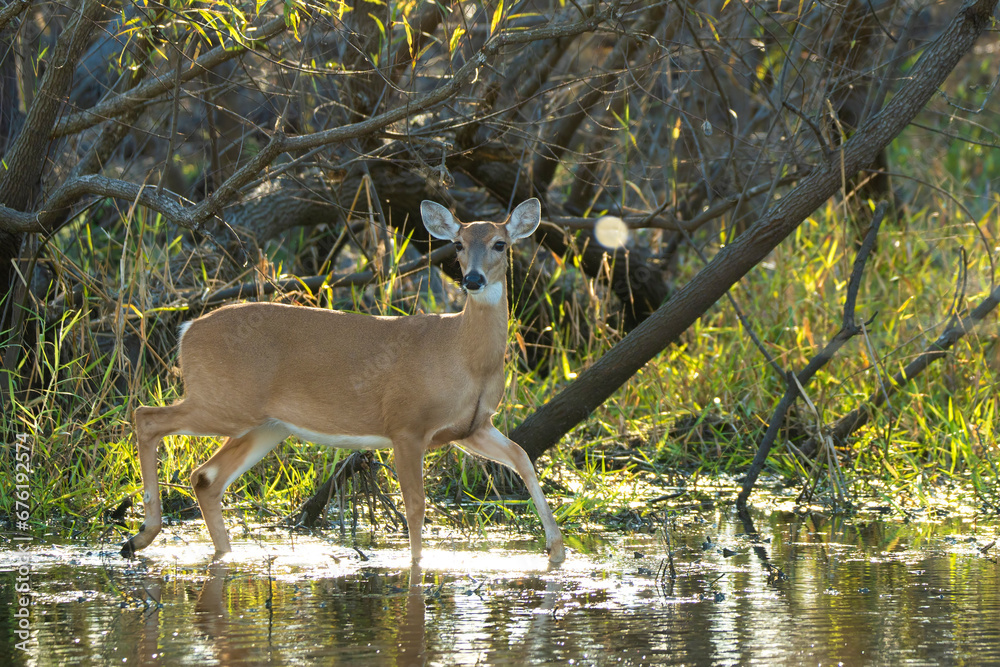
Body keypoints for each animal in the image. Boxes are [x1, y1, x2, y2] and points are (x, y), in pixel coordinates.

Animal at [120, 198, 566, 564]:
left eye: (500, 244)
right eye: (456, 245)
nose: (472, 280)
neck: (465, 357)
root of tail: (187, 329)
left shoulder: (472, 427)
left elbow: (523, 457)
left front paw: (556, 550)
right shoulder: (407, 424)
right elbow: (416, 505)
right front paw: (417, 565)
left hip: (266, 424)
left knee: (205, 477)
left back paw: (211, 552)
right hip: (223, 401)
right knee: (147, 416)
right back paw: (142, 535)